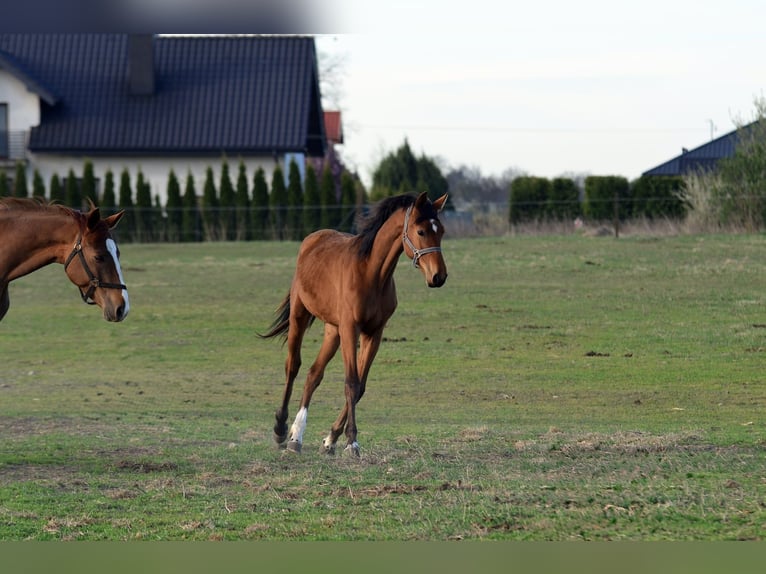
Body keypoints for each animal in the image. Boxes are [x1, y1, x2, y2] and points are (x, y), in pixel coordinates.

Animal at [260, 191, 448, 456]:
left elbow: (360, 386)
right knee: (293, 366)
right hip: (300, 314)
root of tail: (312, 239)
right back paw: (281, 429)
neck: (371, 274)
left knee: (313, 374)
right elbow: (351, 382)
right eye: (421, 231)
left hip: (333, 331)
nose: (438, 276)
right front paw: (352, 443)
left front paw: (330, 439)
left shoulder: (373, 334)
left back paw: (296, 437)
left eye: (440, 231)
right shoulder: (351, 329)